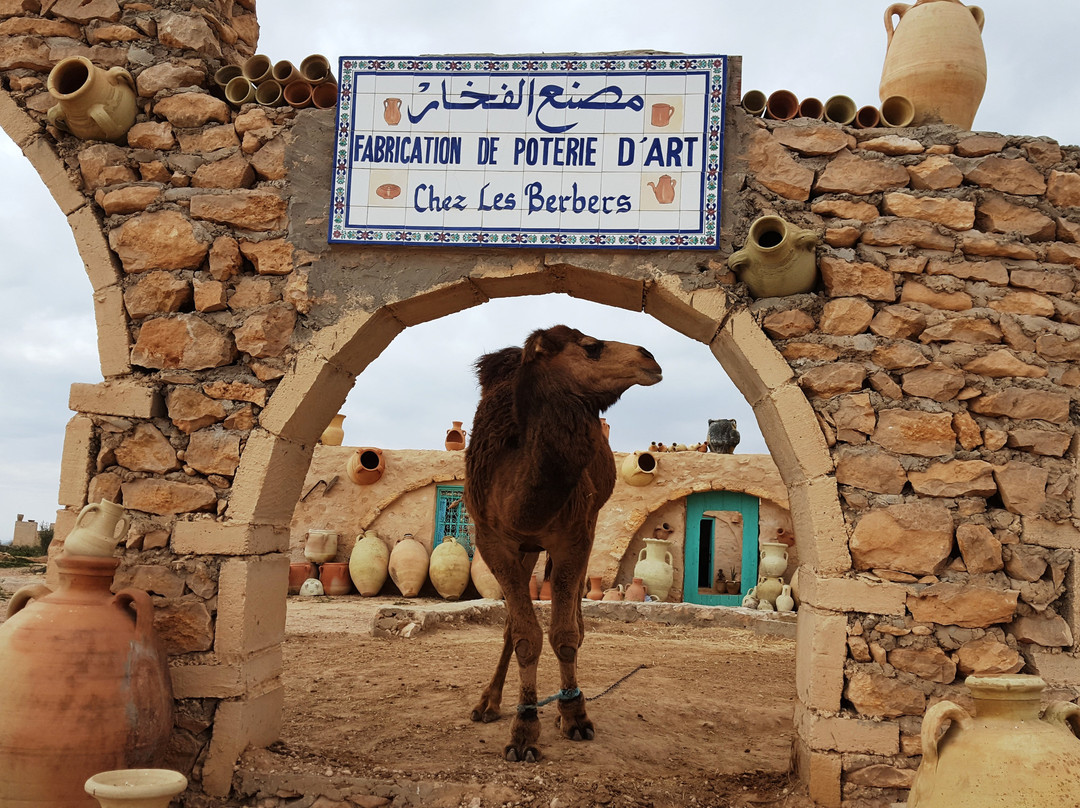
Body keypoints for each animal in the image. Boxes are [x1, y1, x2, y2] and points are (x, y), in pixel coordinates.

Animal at [462, 324, 660, 760]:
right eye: (591, 347)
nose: (650, 358)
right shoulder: (493, 540)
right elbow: (525, 636)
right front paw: (523, 731)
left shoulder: (575, 535)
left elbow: (565, 635)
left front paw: (573, 716)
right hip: (524, 550)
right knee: (512, 624)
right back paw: (488, 703)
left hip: (583, 526)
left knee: (574, 620)